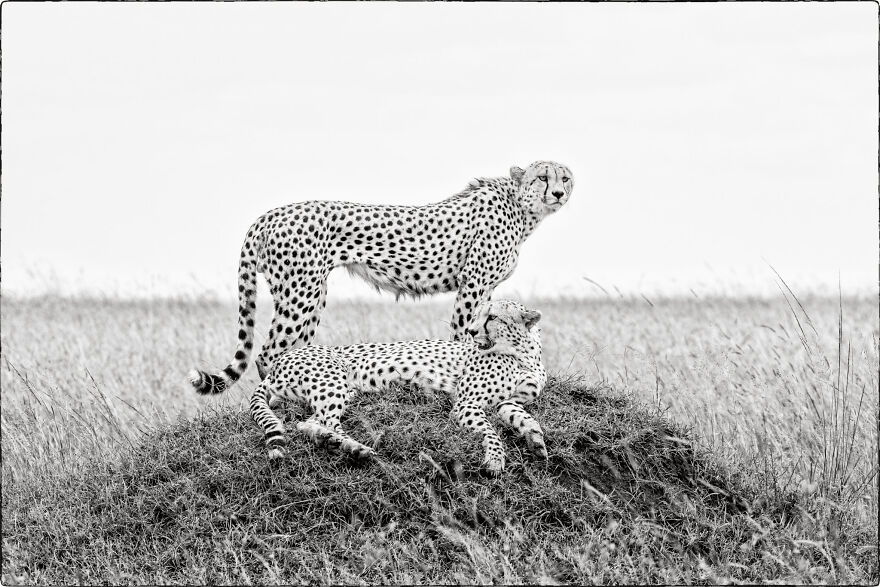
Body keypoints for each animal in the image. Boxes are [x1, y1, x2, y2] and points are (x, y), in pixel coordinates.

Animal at [189, 160, 573, 393]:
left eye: (565, 177)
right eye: (543, 177)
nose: (558, 193)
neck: (521, 208)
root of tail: (270, 213)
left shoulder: (486, 288)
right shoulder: (473, 284)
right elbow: (465, 331)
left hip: (309, 294)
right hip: (302, 292)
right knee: (268, 353)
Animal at [189, 299, 548, 474]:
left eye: (492, 317)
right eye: (480, 315)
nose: (472, 331)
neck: (523, 352)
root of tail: (279, 363)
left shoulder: (509, 402)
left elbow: (524, 418)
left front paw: (536, 441)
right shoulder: (467, 403)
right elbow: (492, 432)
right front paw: (496, 461)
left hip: (339, 389)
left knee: (310, 423)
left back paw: (343, 445)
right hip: (333, 381)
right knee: (315, 422)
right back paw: (354, 448)